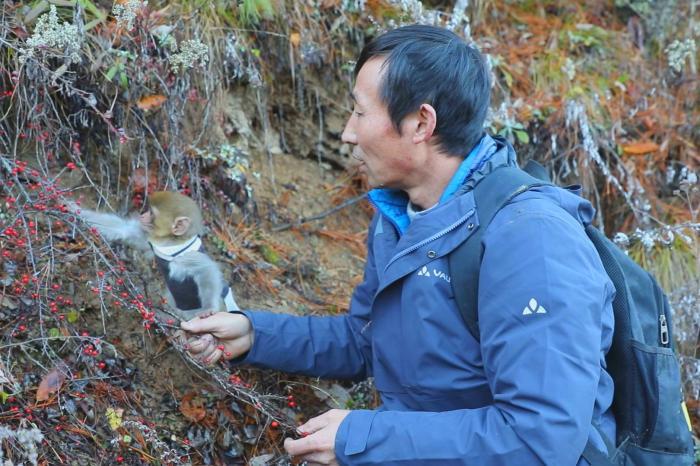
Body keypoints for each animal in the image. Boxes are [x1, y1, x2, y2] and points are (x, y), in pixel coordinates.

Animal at [72, 192, 239, 320]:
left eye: (151, 213)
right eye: (148, 210)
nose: (142, 216)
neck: (170, 242)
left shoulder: (187, 256)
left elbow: (206, 270)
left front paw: (209, 309)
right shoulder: (153, 241)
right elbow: (125, 230)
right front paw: (73, 207)